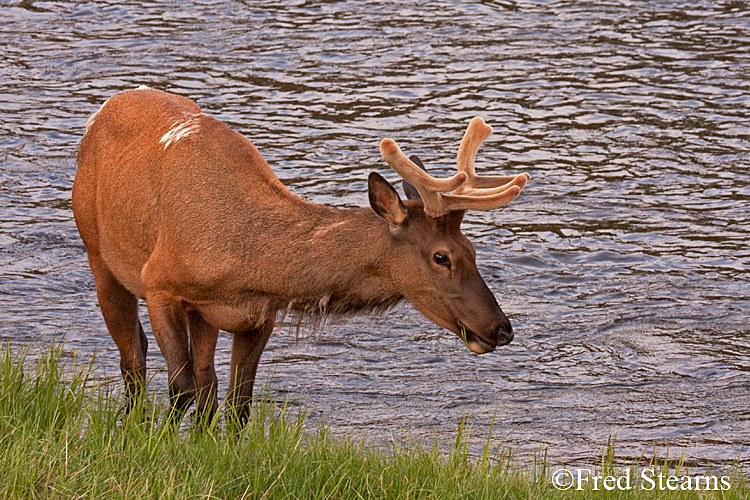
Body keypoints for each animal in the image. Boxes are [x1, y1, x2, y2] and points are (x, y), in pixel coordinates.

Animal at [70, 88, 528, 424]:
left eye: (472, 249)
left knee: (205, 379)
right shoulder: (159, 283)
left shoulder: (259, 315)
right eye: (441, 257)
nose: (502, 329)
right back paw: (131, 423)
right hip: (98, 252)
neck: (247, 264)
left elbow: (237, 401)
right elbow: (179, 388)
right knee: (134, 355)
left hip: (202, 315)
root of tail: (103, 111)